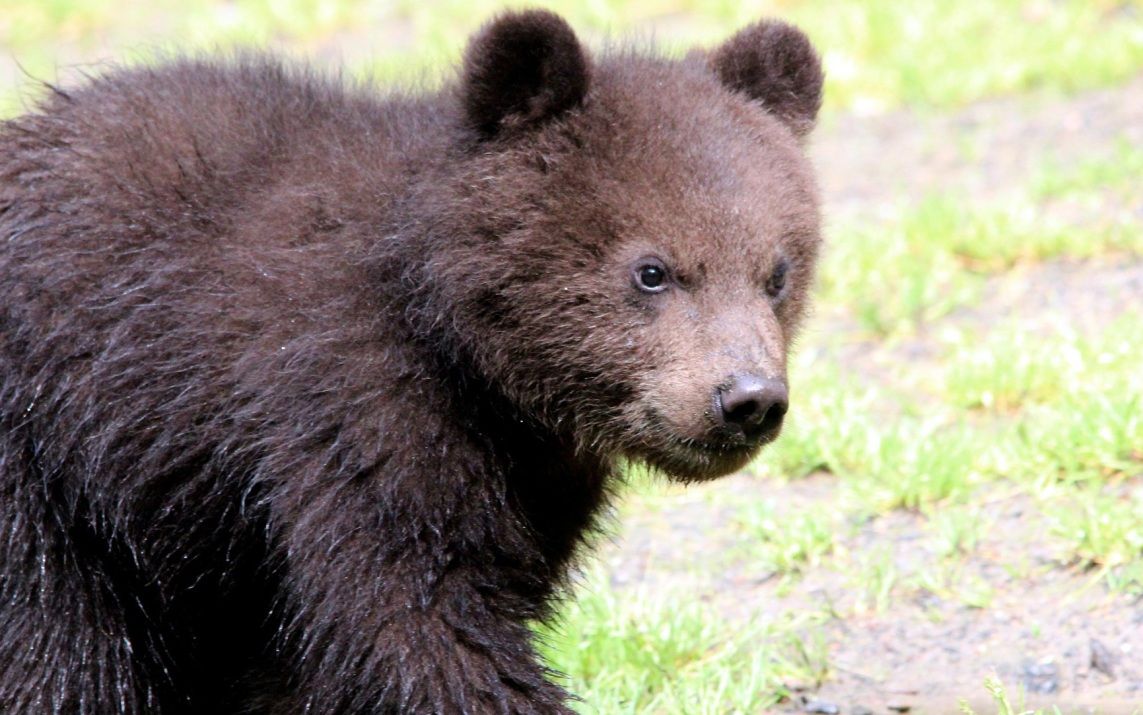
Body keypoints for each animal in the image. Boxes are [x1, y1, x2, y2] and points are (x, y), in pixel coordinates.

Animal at [0, 9, 823, 714]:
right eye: (652, 271)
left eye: (776, 273)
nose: (747, 398)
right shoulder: (354, 419)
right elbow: (422, 621)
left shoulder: (530, 485)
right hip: (45, 474)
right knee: (59, 643)